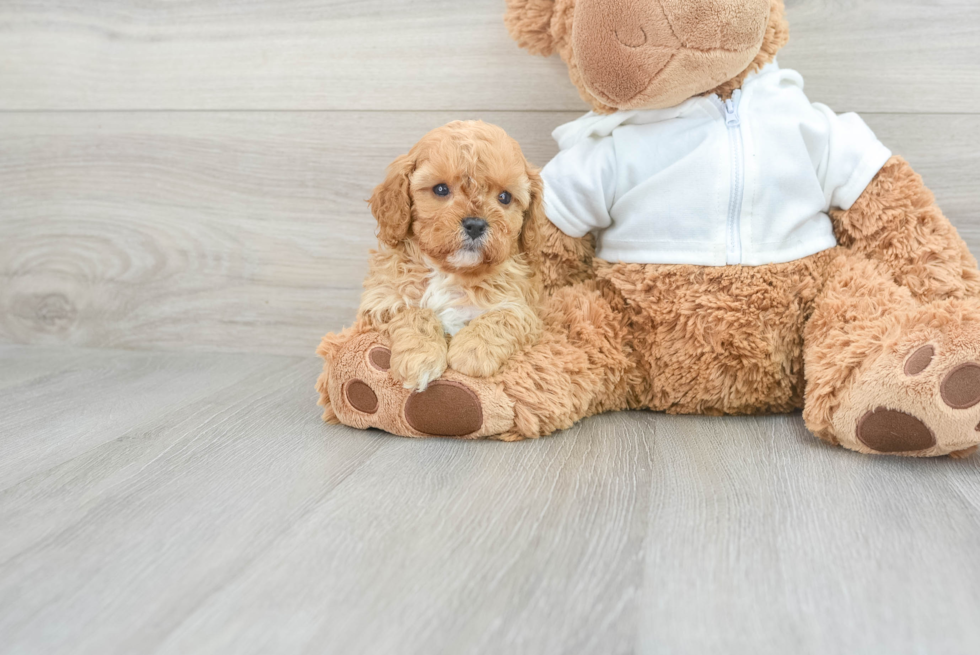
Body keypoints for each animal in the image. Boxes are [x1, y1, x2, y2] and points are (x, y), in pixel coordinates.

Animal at [358, 121, 544, 392]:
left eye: (505, 197)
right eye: (441, 189)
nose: (476, 225)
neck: (449, 272)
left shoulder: (526, 309)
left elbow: (505, 315)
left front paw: (473, 350)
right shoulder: (381, 300)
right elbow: (413, 311)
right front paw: (420, 356)